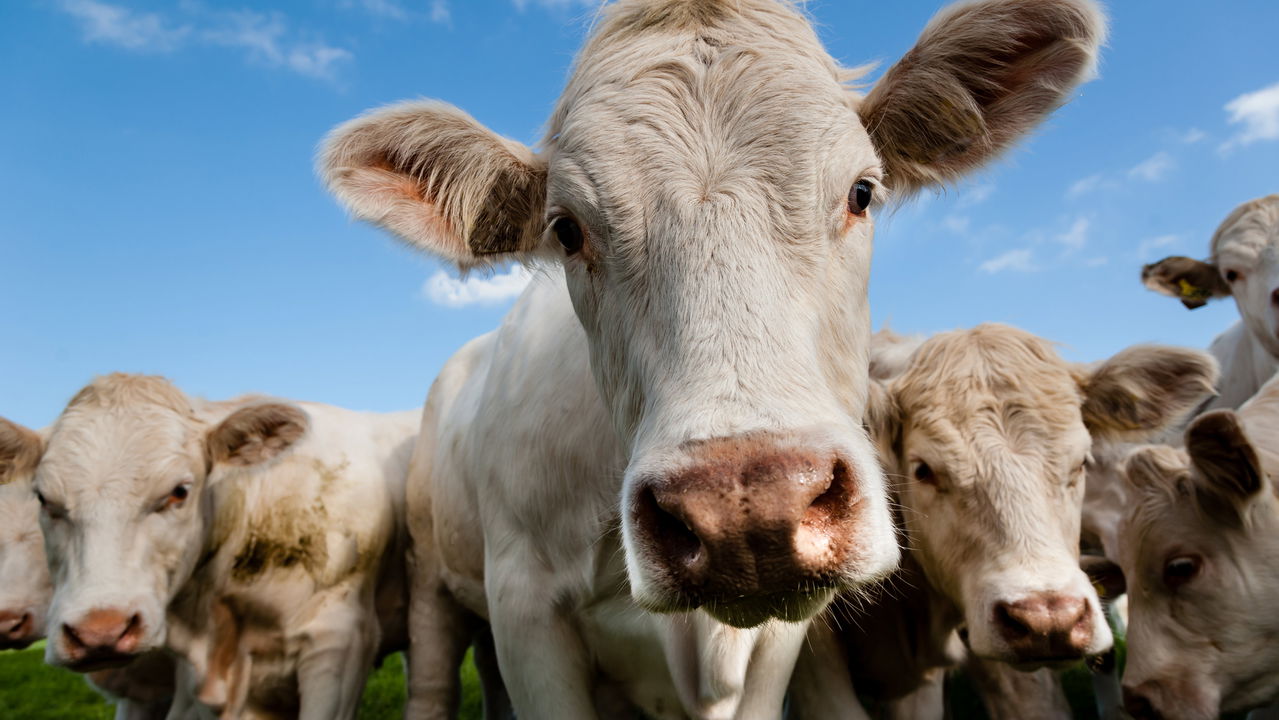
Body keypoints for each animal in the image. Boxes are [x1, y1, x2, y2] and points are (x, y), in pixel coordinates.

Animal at [320, 1, 1105, 716]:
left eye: (861, 192)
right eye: (566, 229)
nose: (746, 508)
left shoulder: (781, 645)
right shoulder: (524, 609)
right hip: (434, 584)